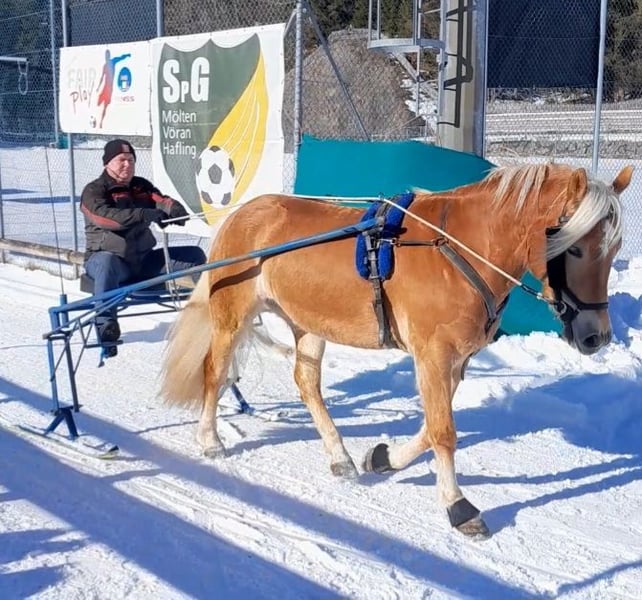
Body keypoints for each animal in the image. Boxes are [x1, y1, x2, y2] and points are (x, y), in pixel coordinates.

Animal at [160, 162, 633, 538]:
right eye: (574, 248)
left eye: (612, 249)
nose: (596, 337)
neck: (458, 249)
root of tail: (242, 213)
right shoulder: (433, 355)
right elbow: (443, 431)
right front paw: (457, 506)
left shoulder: (455, 361)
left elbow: (430, 427)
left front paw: (384, 458)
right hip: (232, 316)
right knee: (214, 370)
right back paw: (210, 439)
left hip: (309, 324)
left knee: (306, 383)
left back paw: (340, 457)